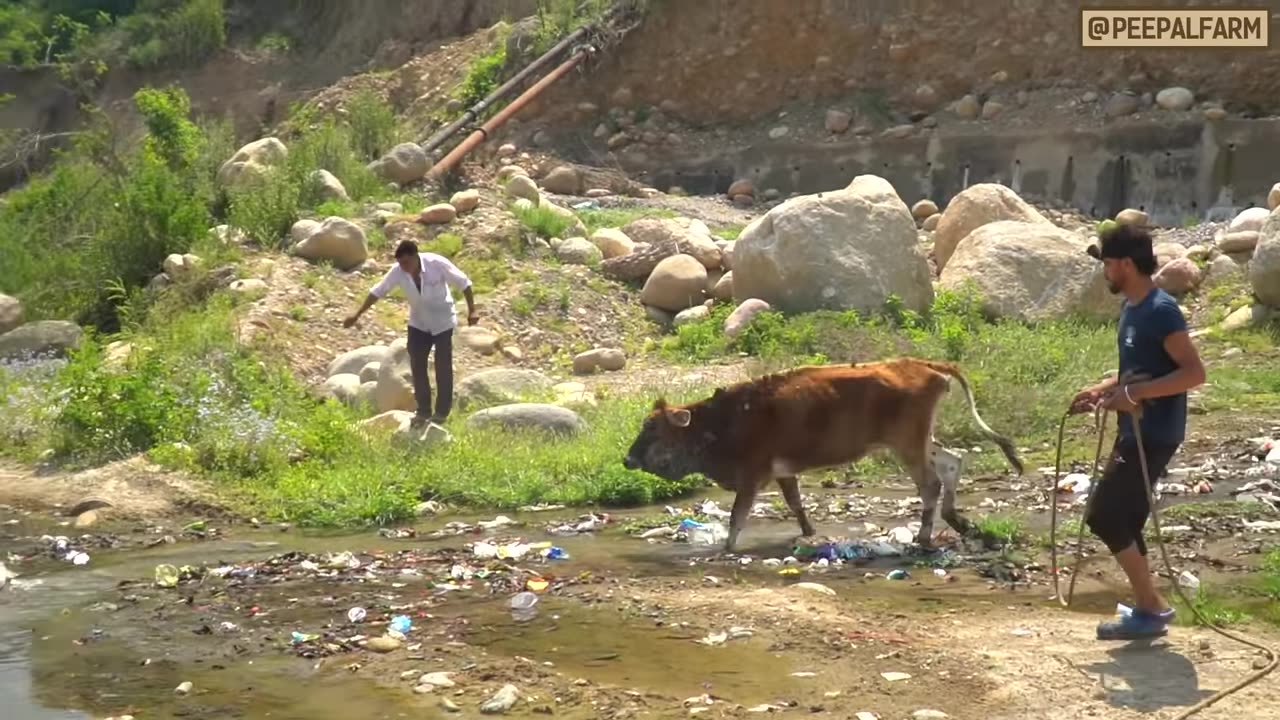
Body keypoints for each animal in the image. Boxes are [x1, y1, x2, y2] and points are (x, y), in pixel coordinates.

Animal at [619, 356, 1018, 550]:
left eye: (651, 428)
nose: (627, 459)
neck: (725, 420)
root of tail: (923, 364)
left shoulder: (752, 474)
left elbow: (737, 517)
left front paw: (727, 549)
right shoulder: (783, 471)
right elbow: (796, 504)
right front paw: (809, 532)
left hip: (908, 446)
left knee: (931, 484)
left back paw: (922, 536)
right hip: (920, 442)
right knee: (952, 462)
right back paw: (956, 519)